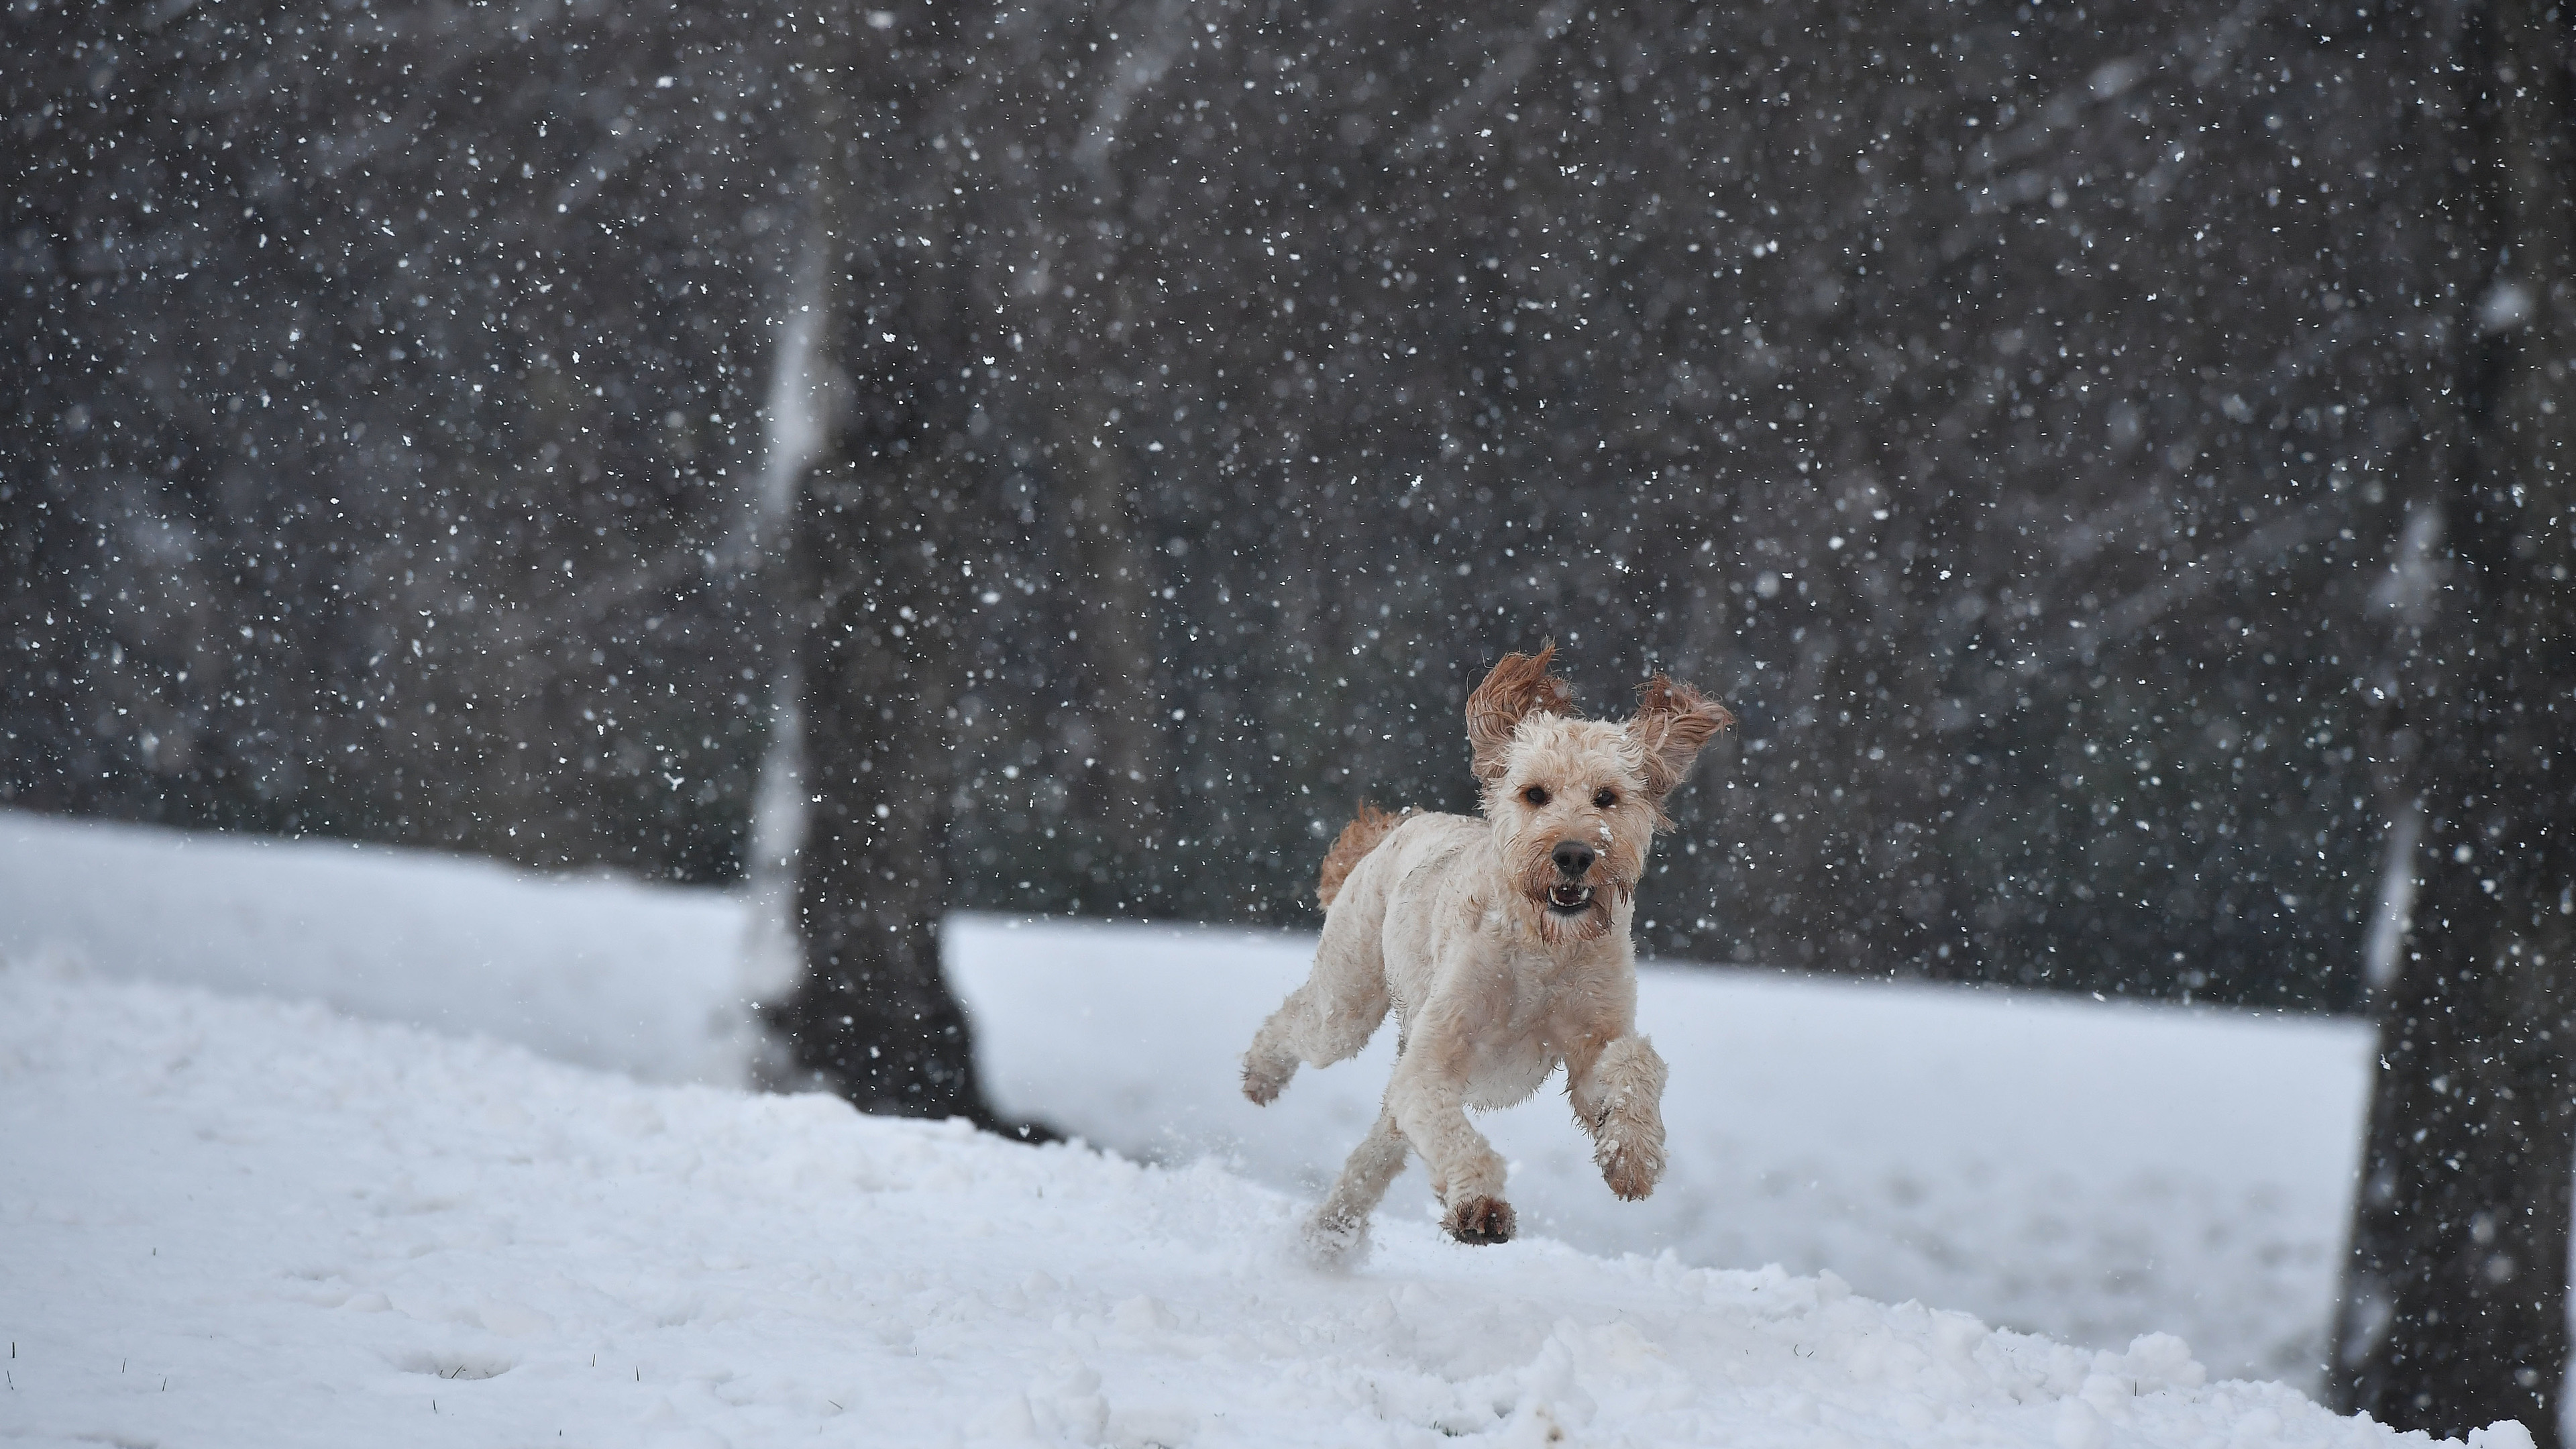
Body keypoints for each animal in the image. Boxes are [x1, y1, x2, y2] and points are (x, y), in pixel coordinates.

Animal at [1241, 642, 1731, 1252]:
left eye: (1607, 797)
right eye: (1535, 793)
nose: (1574, 854)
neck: (1546, 951)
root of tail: (1405, 823)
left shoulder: (1590, 1043)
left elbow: (1634, 1063)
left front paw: (1631, 1155)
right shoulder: (1433, 1060)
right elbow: (1451, 1131)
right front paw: (1480, 1204)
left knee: (1376, 1152)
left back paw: (1331, 1235)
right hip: (1347, 1002)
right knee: (1300, 1025)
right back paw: (1260, 1076)